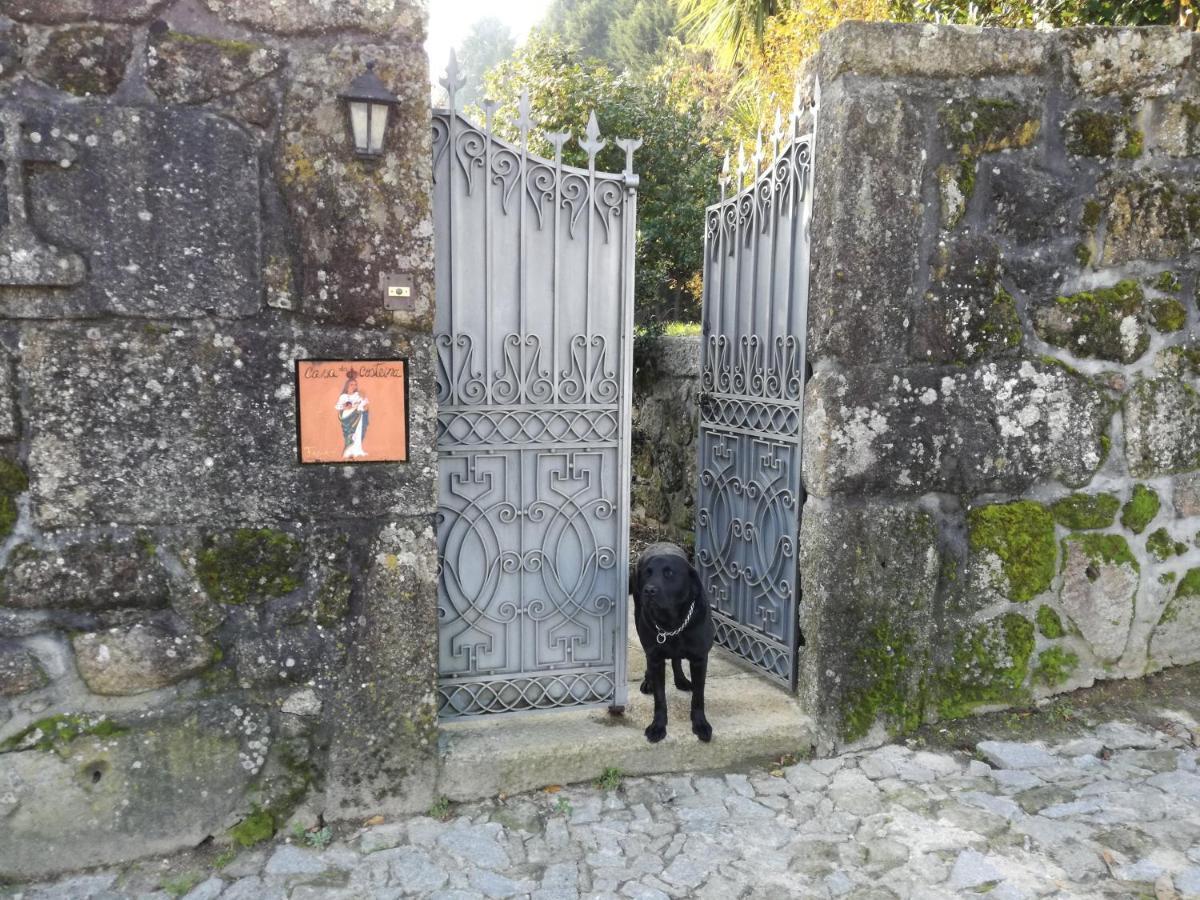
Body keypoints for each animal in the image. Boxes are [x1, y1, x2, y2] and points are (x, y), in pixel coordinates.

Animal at [633, 547, 705, 744]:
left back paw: (681, 680)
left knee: (676, 659)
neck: (672, 623)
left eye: (669, 573)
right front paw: (658, 726)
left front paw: (701, 724)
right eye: (647, 573)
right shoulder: (656, 659)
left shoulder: (700, 659)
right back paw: (648, 681)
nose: (649, 590)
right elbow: (660, 699)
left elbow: (698, 696)